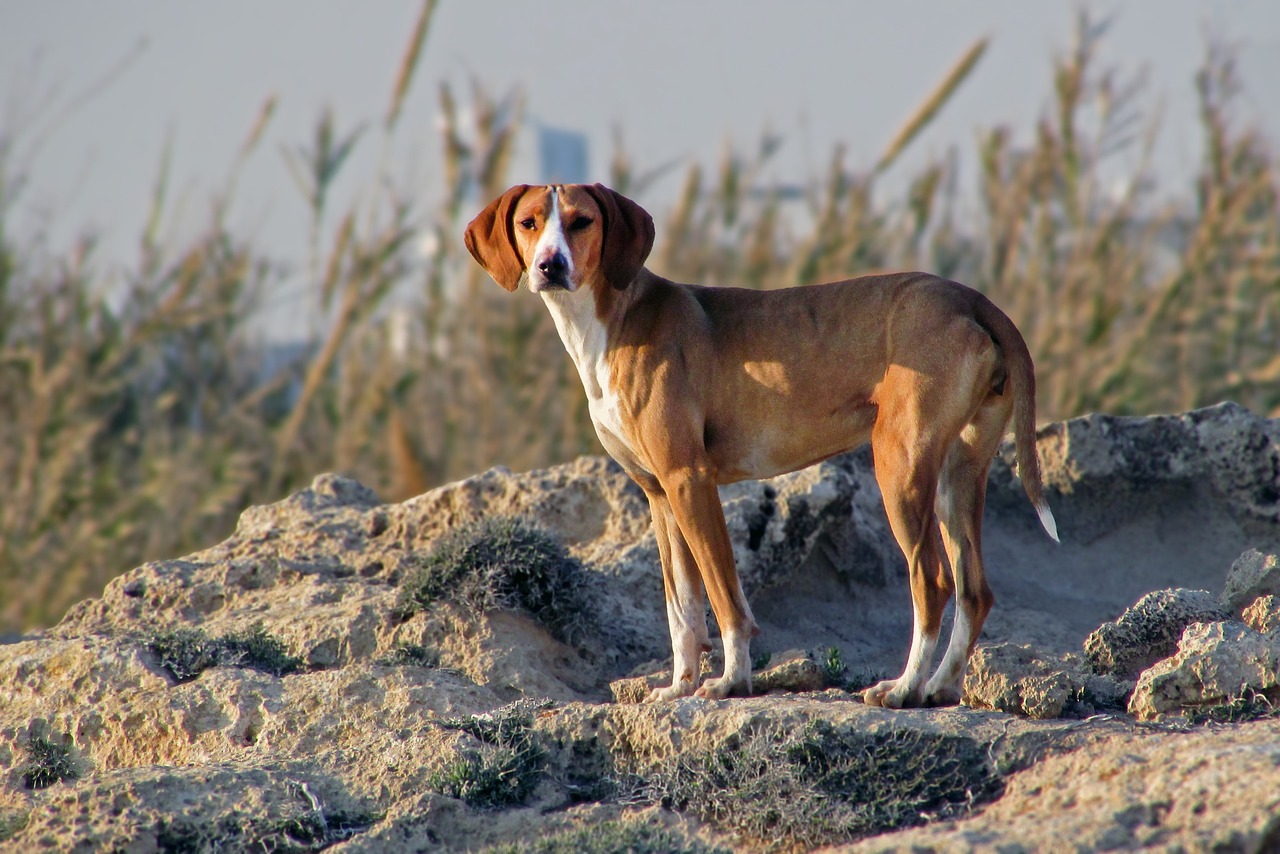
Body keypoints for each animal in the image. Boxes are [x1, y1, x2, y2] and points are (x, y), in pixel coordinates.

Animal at [465, 181, 1054, 706]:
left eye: (582, 221)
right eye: (529, 223)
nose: (550, 265)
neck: (612, 321)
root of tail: (970, 297)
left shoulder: (690, 482)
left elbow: (725, 598)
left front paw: (730, 683)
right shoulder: (659, 496)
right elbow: (682, 607)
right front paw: (679, 687)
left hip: (900, 468)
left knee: (931, 581)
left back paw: (905, 688)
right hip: (959, 474)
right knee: (974, 590)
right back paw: (940, 687)